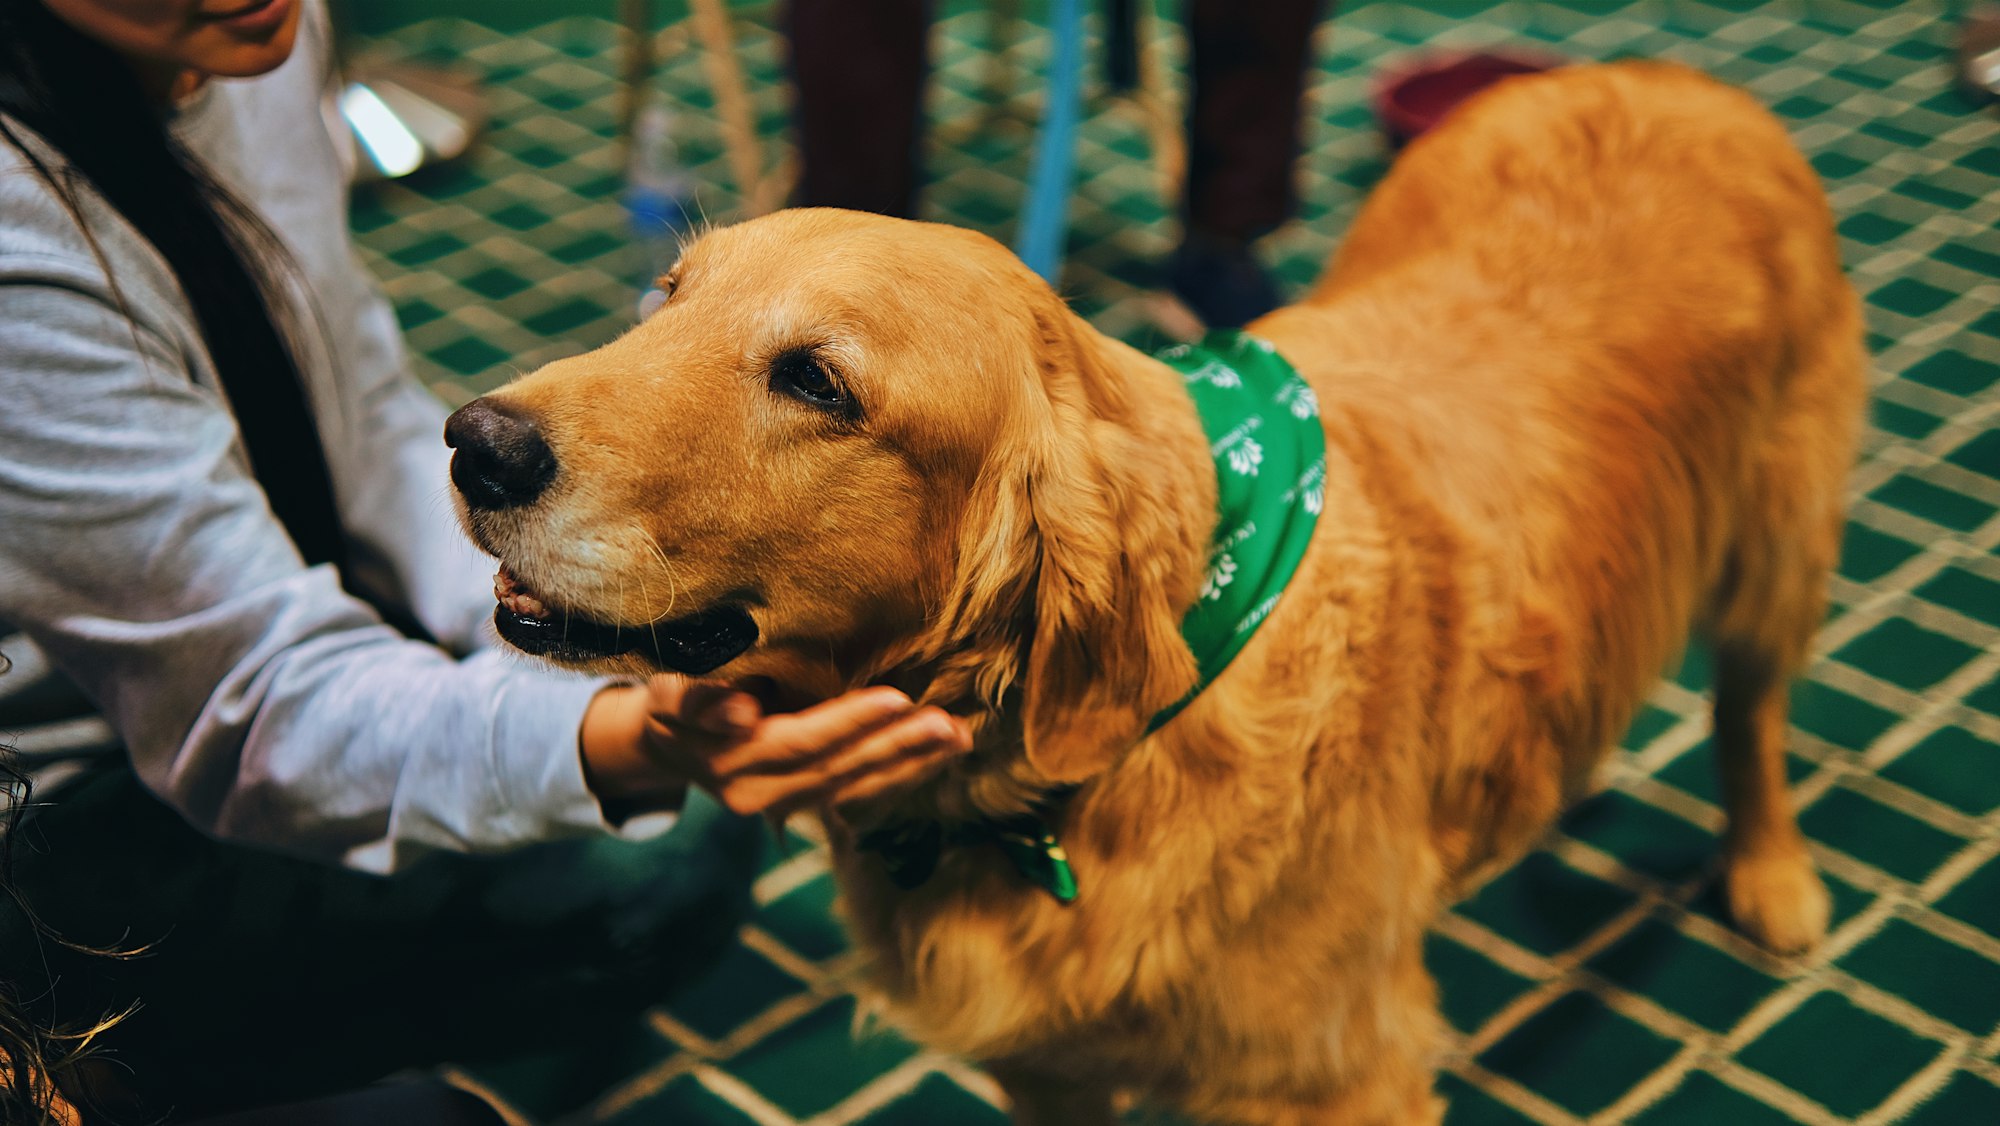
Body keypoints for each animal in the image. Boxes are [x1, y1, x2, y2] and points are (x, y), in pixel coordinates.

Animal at [450, 61, 1856, 1126]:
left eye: (816, 381)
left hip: (1776, 546)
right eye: (663, 297)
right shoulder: (1048, 1069)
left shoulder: (1337, 1080)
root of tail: (1667, 74)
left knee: (1749, 711)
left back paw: (1773, 875)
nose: (475, 442)